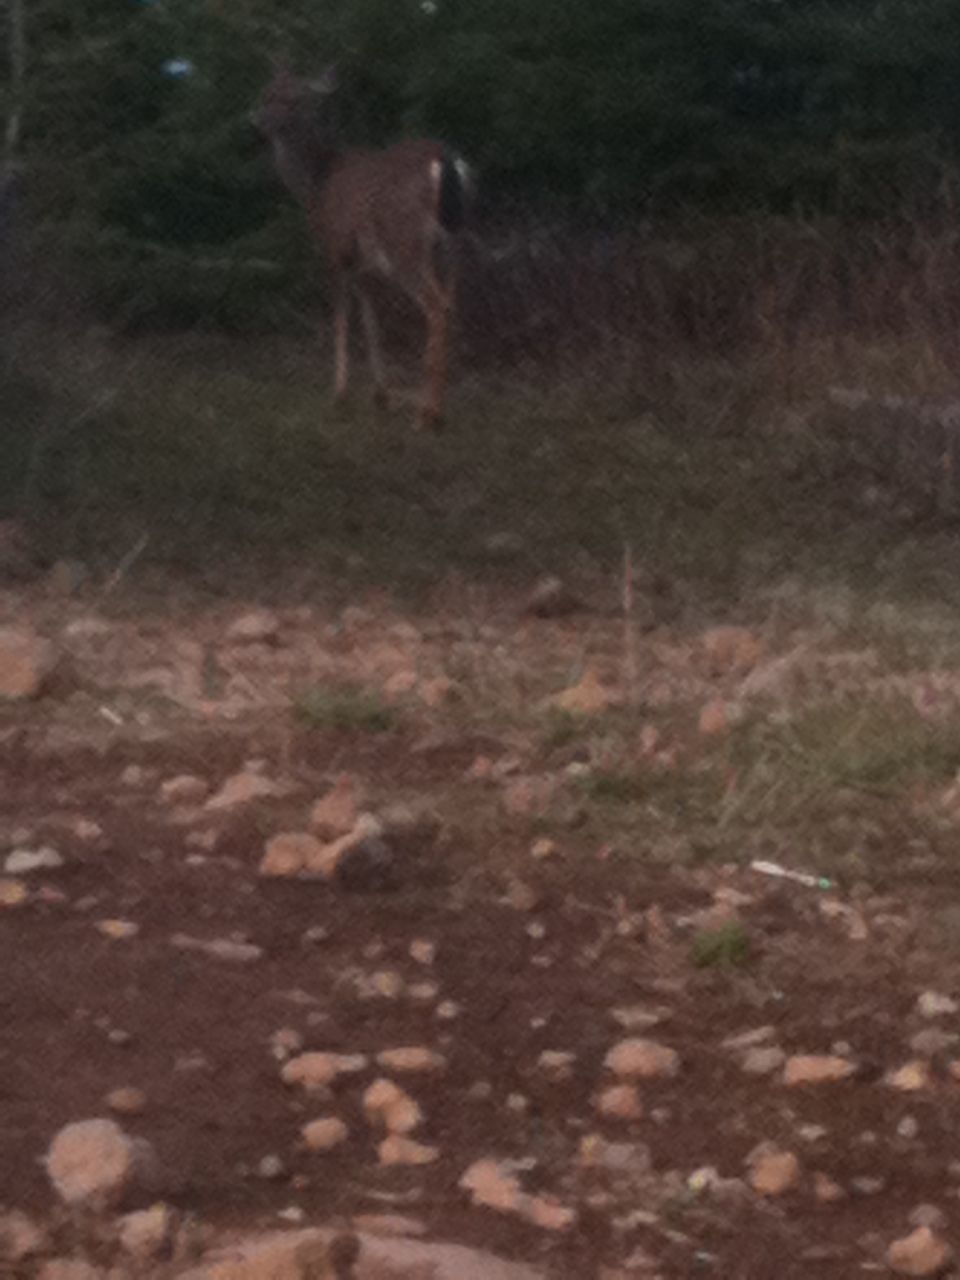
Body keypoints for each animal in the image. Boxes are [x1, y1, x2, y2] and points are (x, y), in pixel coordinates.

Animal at [252, 62, 472, 432]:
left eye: (294, 99)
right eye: (267, 92)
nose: (259, 121)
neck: (316, 186)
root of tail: (443, 160)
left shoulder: (335, 250)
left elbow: (341, 318)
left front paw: (339, 394)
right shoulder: (366, 267)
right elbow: (371, 319)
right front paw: (380, 395)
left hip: (405, 243)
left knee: (435, 306)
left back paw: (427, 415)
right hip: (453, 244)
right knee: (451, 304)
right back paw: (438, 406)